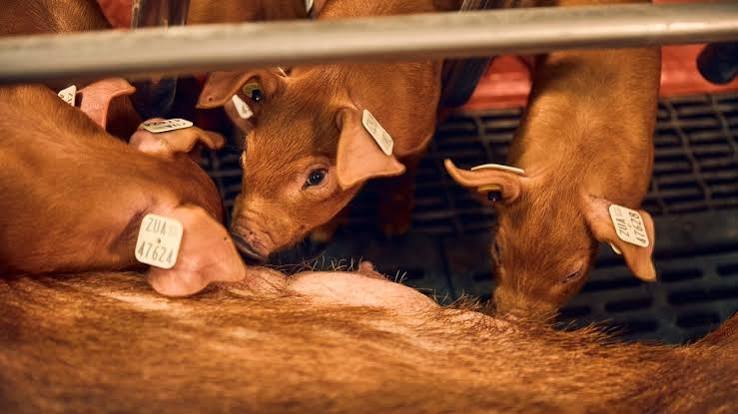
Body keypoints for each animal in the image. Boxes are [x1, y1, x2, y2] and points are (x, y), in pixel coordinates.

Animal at [196, 0, 465, 262]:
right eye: (246, 154)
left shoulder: (421, 135)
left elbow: (401, 178)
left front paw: (393, 232)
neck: (333, 80)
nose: (240, 241)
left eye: (316, 177)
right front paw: (321, 237)